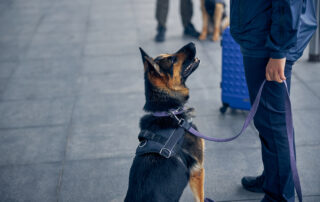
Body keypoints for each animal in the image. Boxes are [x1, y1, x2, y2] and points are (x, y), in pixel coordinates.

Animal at [124, 43, 205, 202]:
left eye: (170, 54)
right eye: (172, 60)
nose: (192, 43)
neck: (167, 110)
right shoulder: (198, 171)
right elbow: (201, 198)